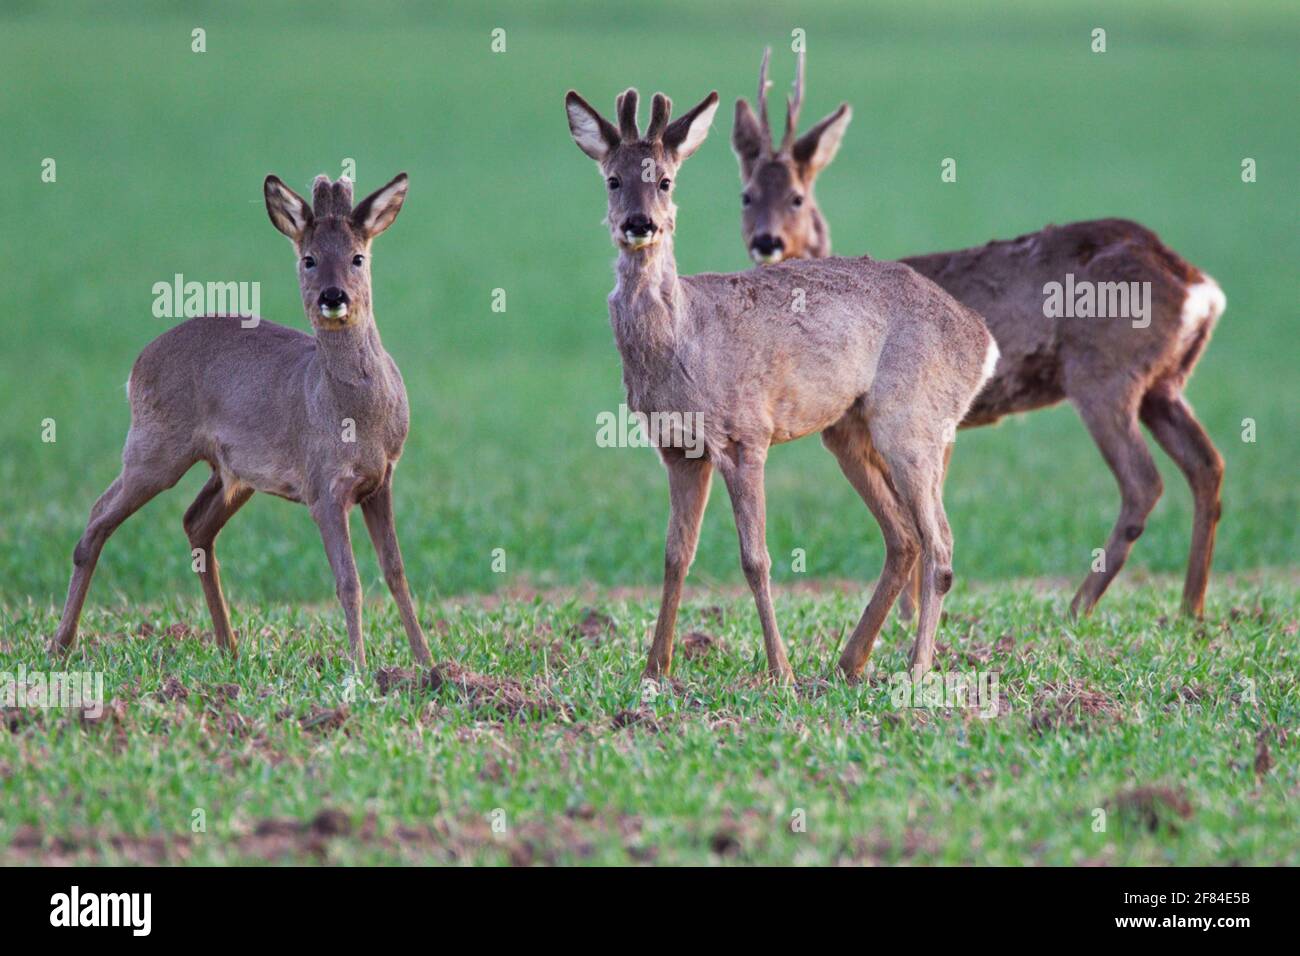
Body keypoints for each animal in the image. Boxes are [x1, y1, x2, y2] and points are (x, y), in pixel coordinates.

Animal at [738, 48, 1222, 621]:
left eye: (796, 197)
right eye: (746, 195)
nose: (766, 241)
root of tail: (1198, 285)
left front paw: (907, 617)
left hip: (1105, 374)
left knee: (1144, 481)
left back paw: (1078, 607)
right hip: (1164, 383)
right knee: (1206, 465)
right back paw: (1190, 607)